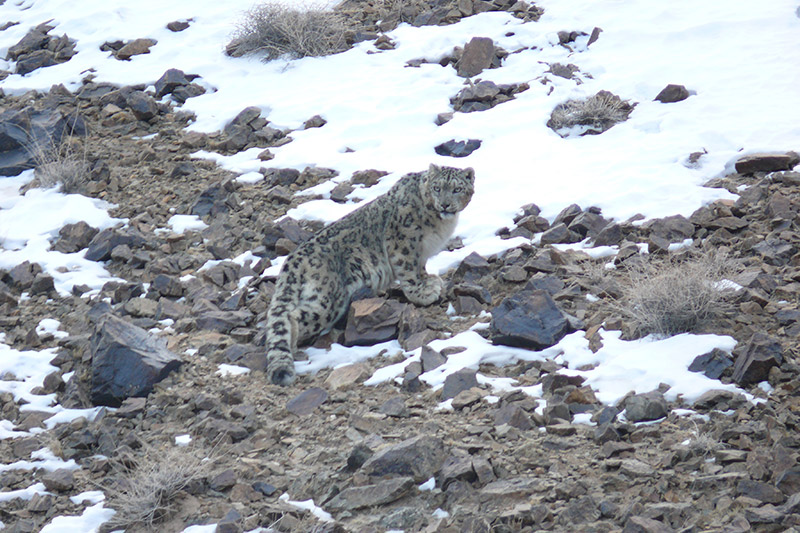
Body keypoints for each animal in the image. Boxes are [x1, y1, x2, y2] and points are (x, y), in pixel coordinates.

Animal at [264, 163, 475, 385]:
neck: (439, 224)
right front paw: (423, 293)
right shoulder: (402, 242)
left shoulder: (422, 254)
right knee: (294, 315)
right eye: (437, 188)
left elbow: (421, 268)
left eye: (457, 189)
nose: (445, 205)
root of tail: (292, 260)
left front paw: (429, 281)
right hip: (328, 299)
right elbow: (408, 270)